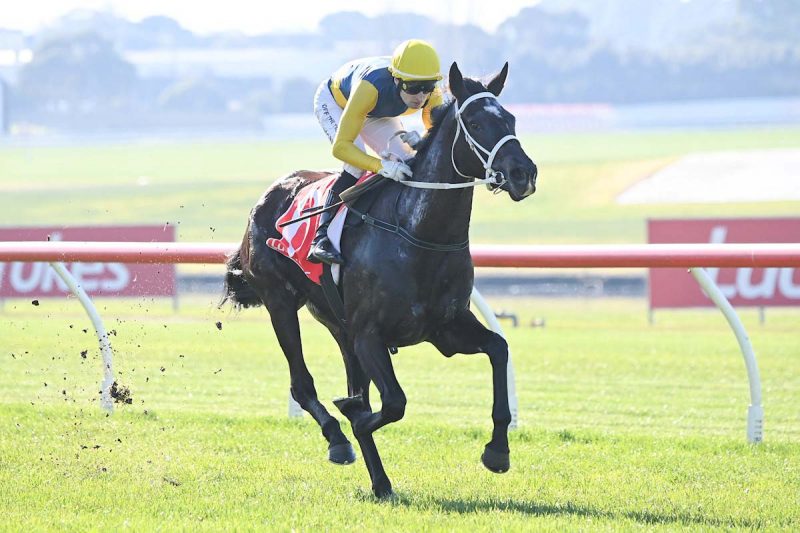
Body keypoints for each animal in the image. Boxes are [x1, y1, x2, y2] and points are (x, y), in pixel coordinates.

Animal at [222, 61, 537, 498]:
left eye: (510, 119)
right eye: (474, 122)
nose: (523, 173)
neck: (419, 233)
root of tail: (267, 196)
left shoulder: (446, 329)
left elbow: (499, 349)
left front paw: (497, 451)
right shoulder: (370, 335)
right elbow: (391, 404)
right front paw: (351, 418)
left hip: (338, 324)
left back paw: (376, 476)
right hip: (281, 304)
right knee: (302, 385)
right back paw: (339, 441)